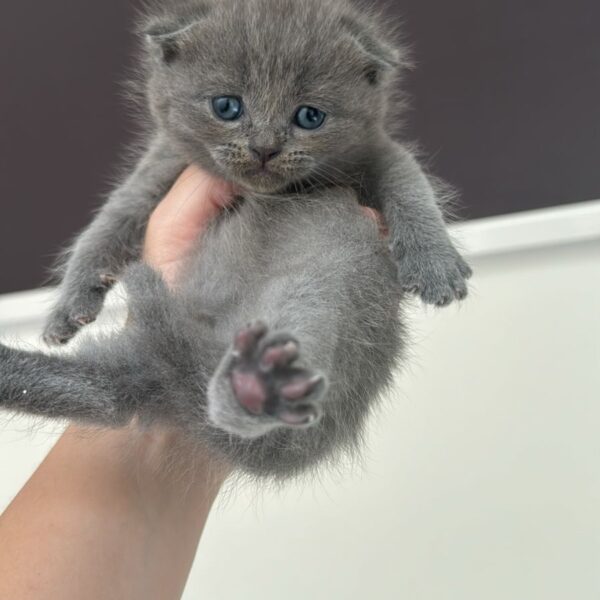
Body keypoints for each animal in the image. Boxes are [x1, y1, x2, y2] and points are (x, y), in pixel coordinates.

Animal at [0, 0, 468, 478]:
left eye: (310, 116)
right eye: (227, 106)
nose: (264, 147)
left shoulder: (377, 151)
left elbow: (411, 185)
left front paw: (435, 264)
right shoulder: (160, 172)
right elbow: (105, 226)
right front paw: (67, 309)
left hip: (333, 281)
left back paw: (254, 386)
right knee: (110, 395)